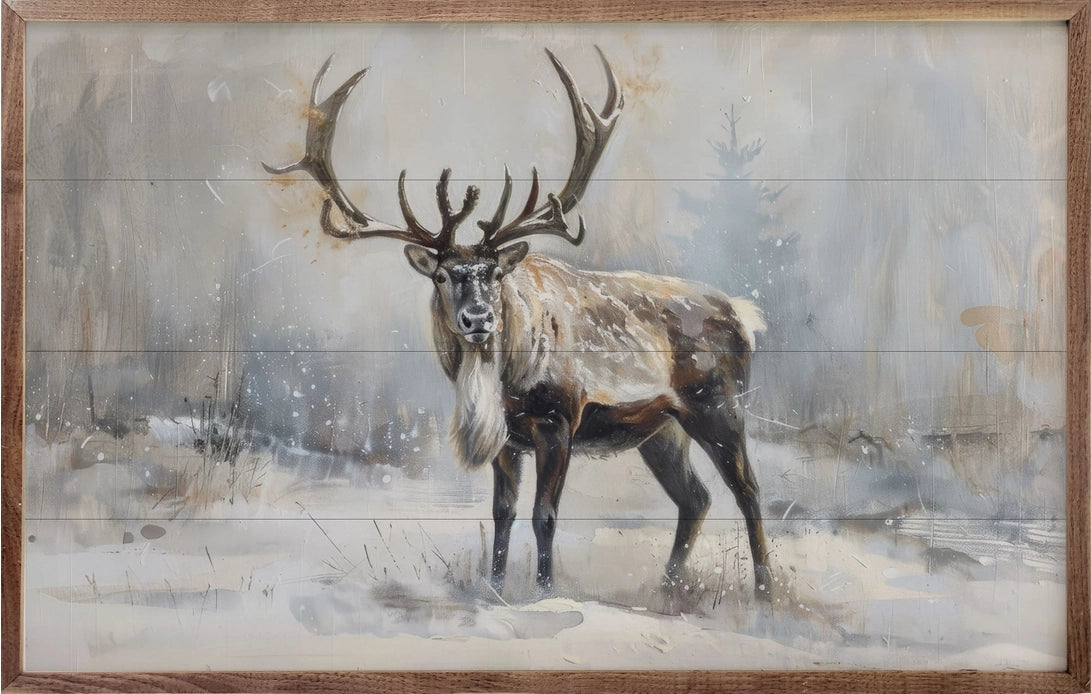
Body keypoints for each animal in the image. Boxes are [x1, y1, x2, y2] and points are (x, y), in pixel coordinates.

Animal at [264, 48, 773, 601]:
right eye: (442, 275)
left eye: (494, 273)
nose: (478, 318)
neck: (502, 379)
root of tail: (744, 316)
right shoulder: (509, 439)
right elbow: (502, 512)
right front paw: (495, 586)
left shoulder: (559, 420)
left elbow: (544, 515)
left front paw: (545, 591)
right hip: (661, 430)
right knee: (695, 498)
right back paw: (667, 587)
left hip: (719, 407)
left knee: (748, 490)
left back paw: (765, 590)